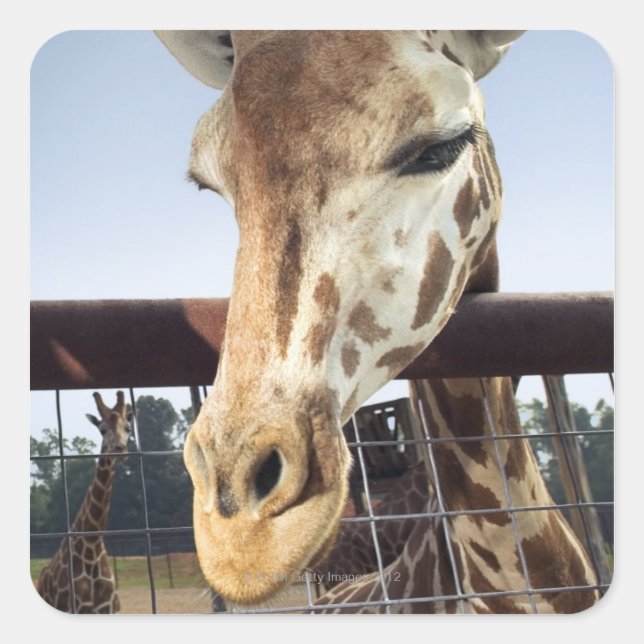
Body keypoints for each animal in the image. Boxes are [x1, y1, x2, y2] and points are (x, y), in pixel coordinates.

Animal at [37, 391, 132, 613]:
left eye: (128, 428)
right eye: (102, 429)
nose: (120, 449)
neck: (92, 546)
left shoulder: (111, 610)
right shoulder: (74, 609)